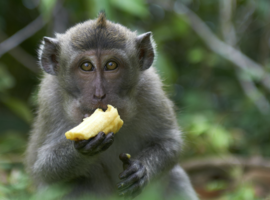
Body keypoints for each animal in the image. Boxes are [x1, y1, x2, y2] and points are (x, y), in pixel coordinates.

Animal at [25, 12, 198, 200]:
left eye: (111, 65)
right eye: (86, 66)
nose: (99, 94)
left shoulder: (151, 90)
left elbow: (170, 142)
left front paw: (141, 170)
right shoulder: (50, 99)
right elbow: (42, 167)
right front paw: (83, 148)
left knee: (176, 177)